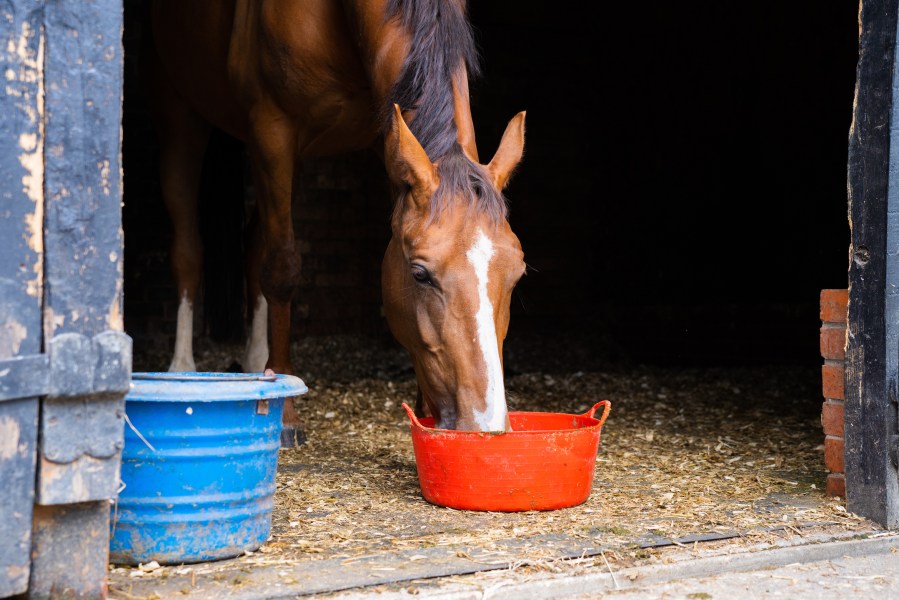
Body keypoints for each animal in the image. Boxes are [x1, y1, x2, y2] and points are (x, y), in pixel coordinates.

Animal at [142, 0, 528, 440]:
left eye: (517, 274)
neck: (341, 15)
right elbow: (282, 270)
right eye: (419, 274)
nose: (485, 426)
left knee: (255, 242)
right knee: (189, 248)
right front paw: (288, 414)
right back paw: (182, 370)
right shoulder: (273, 130)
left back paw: (260, 365)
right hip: (181, 118)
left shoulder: (388, 145)